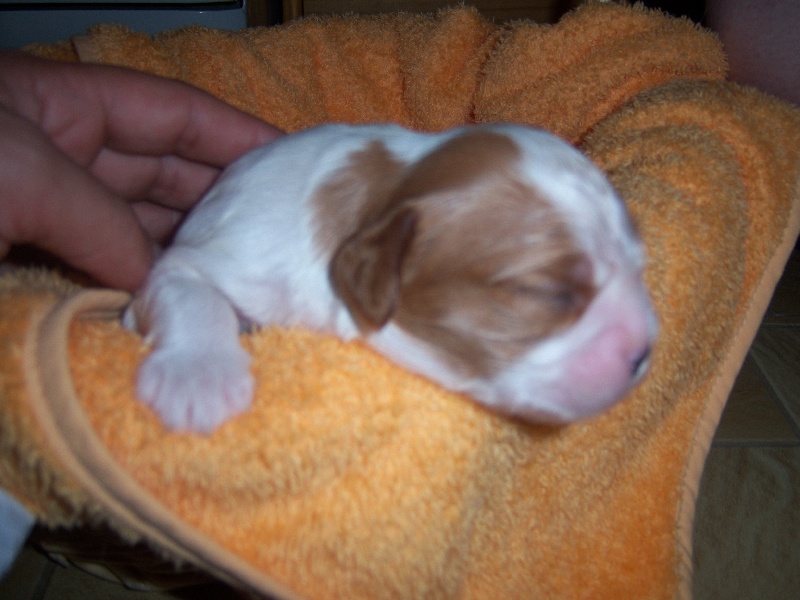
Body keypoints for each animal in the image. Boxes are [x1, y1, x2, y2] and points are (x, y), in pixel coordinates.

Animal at [125, 123, 657, 433]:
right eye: (543, 291)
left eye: (640, 266)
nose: (644, 355)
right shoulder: (214, 255)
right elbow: (191, 290)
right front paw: (198, 379)